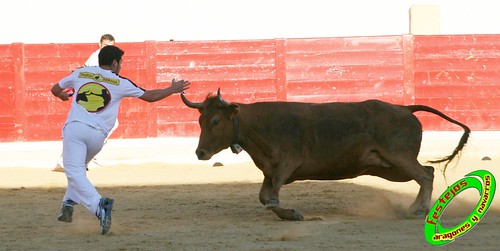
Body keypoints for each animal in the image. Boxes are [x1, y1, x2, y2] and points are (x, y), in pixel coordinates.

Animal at [182, 89, 470, 221]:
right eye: (200, 121)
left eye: (216, 121)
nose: (200, 152)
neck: (257, 125)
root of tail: (405, 107)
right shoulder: (270, 172)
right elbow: (266, 198)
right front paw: (291, 214)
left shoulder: (286, 165)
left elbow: (272, 198)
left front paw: (293, 213)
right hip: (390, 168)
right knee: (427, 172)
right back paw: (415, 207)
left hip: (400, 158)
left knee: (425, 175)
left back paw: (420, 209)